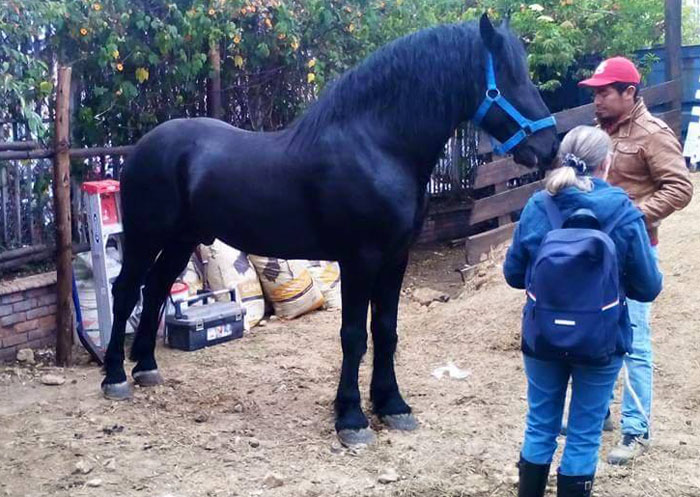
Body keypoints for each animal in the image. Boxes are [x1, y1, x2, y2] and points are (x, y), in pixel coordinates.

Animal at [102, 14, 556, 446]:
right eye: (507, 77)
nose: (549, 146)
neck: (377, 146)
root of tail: (142, 147)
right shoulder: (361, 259)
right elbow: (353, 335)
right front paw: (351, 417)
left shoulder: (396, 257)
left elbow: (385, 330)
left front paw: (392, 405)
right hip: (146, 236)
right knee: (126, 291)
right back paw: (115, 377)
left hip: (183, 238)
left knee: (156, 288)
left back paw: (146, 367)